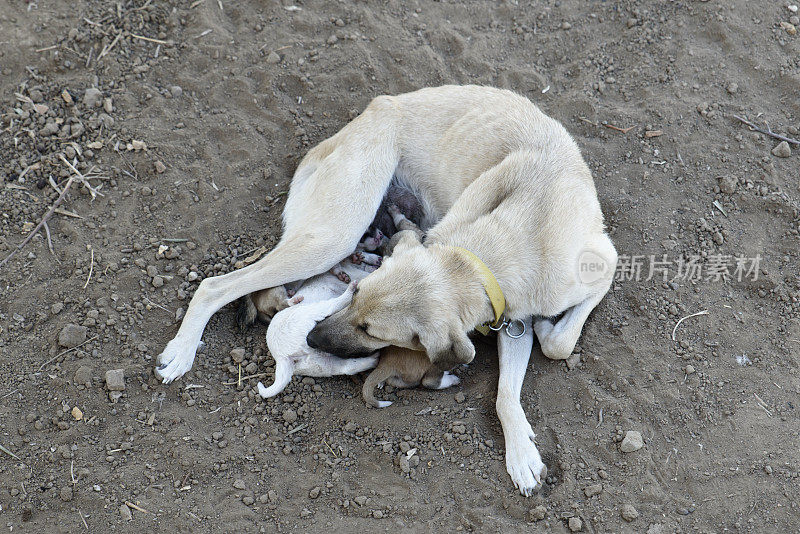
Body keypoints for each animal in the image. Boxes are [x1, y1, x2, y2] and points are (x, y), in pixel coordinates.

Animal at [156, 85, 620, 498]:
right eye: (355, 296)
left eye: (371, 330)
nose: (312, 339)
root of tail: (363, 117)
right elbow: (555, 345)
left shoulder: (577, 277)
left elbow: (535, 367)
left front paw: (521, 451)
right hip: (334, 235)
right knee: (215, 285)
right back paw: (181, 351)